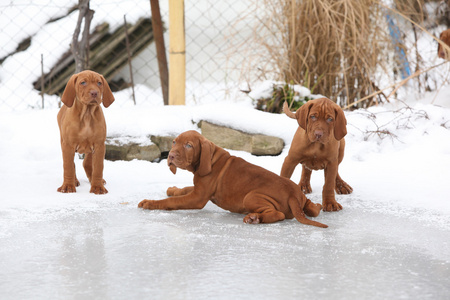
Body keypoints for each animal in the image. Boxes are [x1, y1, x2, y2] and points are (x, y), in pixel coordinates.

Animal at [137, 130, 326, 229]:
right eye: (174, 142)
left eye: (188, 145)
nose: (170, 156)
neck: (210, 159)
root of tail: (294, 195)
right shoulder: (198, 188)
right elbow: (183, 189)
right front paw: (172, 190)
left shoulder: (198, 197)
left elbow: (172, 202)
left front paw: (150, 203)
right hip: (302, 197)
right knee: (312, 209)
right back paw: (317, 205)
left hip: (250, 197)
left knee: (278, 214)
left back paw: (254, 218)